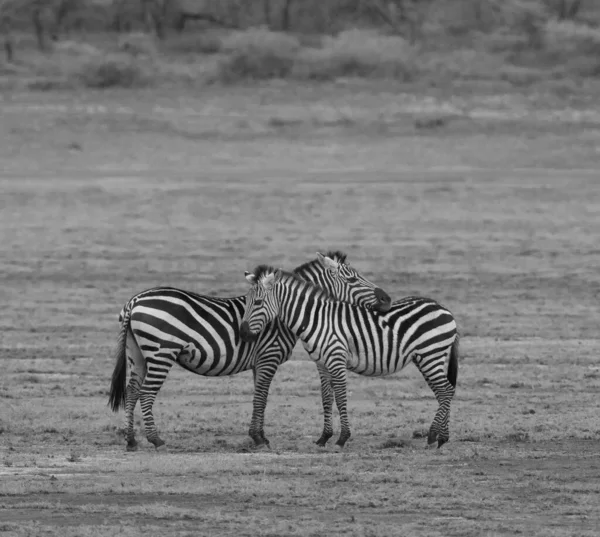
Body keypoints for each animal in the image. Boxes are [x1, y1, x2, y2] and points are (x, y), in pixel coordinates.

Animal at [108, 249, 392, 450]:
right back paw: (155, 439)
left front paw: (259, 435)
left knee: (132, 392)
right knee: (146, 393)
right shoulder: (269, 357)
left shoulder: (259, 362)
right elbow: (262, 397)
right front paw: (258, 439)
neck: (280, 314)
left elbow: (259, 397)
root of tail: (134, 301)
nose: (387, 299)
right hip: (160, 352)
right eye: (353, 278)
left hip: (137, 354)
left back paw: (131, 441)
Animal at [239, 264, 460, 448]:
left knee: (445, 390)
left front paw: (342, 438)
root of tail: (443, 308)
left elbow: (341, 396)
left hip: (431, 354)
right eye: (247, 301)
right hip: (428, 357)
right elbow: (327, 397)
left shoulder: (336, 358)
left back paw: (435, 437)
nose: (243, 333)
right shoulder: (321, 363)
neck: (317, 319)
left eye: (257, 302)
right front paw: (324, 437)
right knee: (444, 391)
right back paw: (439, 436)